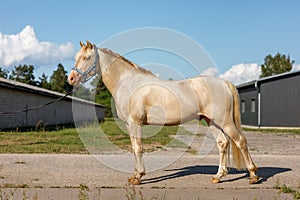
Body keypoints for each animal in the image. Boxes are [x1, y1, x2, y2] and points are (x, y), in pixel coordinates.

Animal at [67, 41, 258, 185]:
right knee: (222, 143)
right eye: (76, 57)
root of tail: (224, 83)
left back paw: (253, 175)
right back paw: (218, 176)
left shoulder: (135, 122)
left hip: (225, 121)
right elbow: (134, 148)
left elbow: (138, 148)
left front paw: (138, 177)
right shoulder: (129, 125)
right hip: (211, 121)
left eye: (86, 57)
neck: (128, 83)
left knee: (241, 141)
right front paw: (134, 175)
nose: (71, 78)